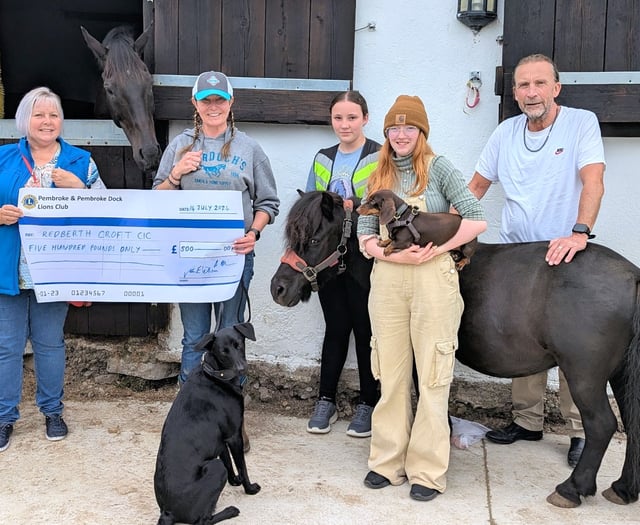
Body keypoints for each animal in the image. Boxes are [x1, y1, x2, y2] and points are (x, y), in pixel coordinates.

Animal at [154, 322, 260, 520]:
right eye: (223, 352)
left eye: (239, 345)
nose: (242, 369)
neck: (216, 376)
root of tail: (167, 512)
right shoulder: (234, 436)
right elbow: (241, 466)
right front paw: (249, 488)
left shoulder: (221, 439)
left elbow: (228, 461)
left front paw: (234, 481)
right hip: (215, 468)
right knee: (203, 520)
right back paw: (230, 511)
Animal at [272, 190, 640, 510]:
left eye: (314, 240)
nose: (278, 288)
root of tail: (633, 277)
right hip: (621, 374)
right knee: (632, 423)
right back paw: (623, 488)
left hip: (584, 374)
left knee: (601, 425)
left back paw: (572, 488)